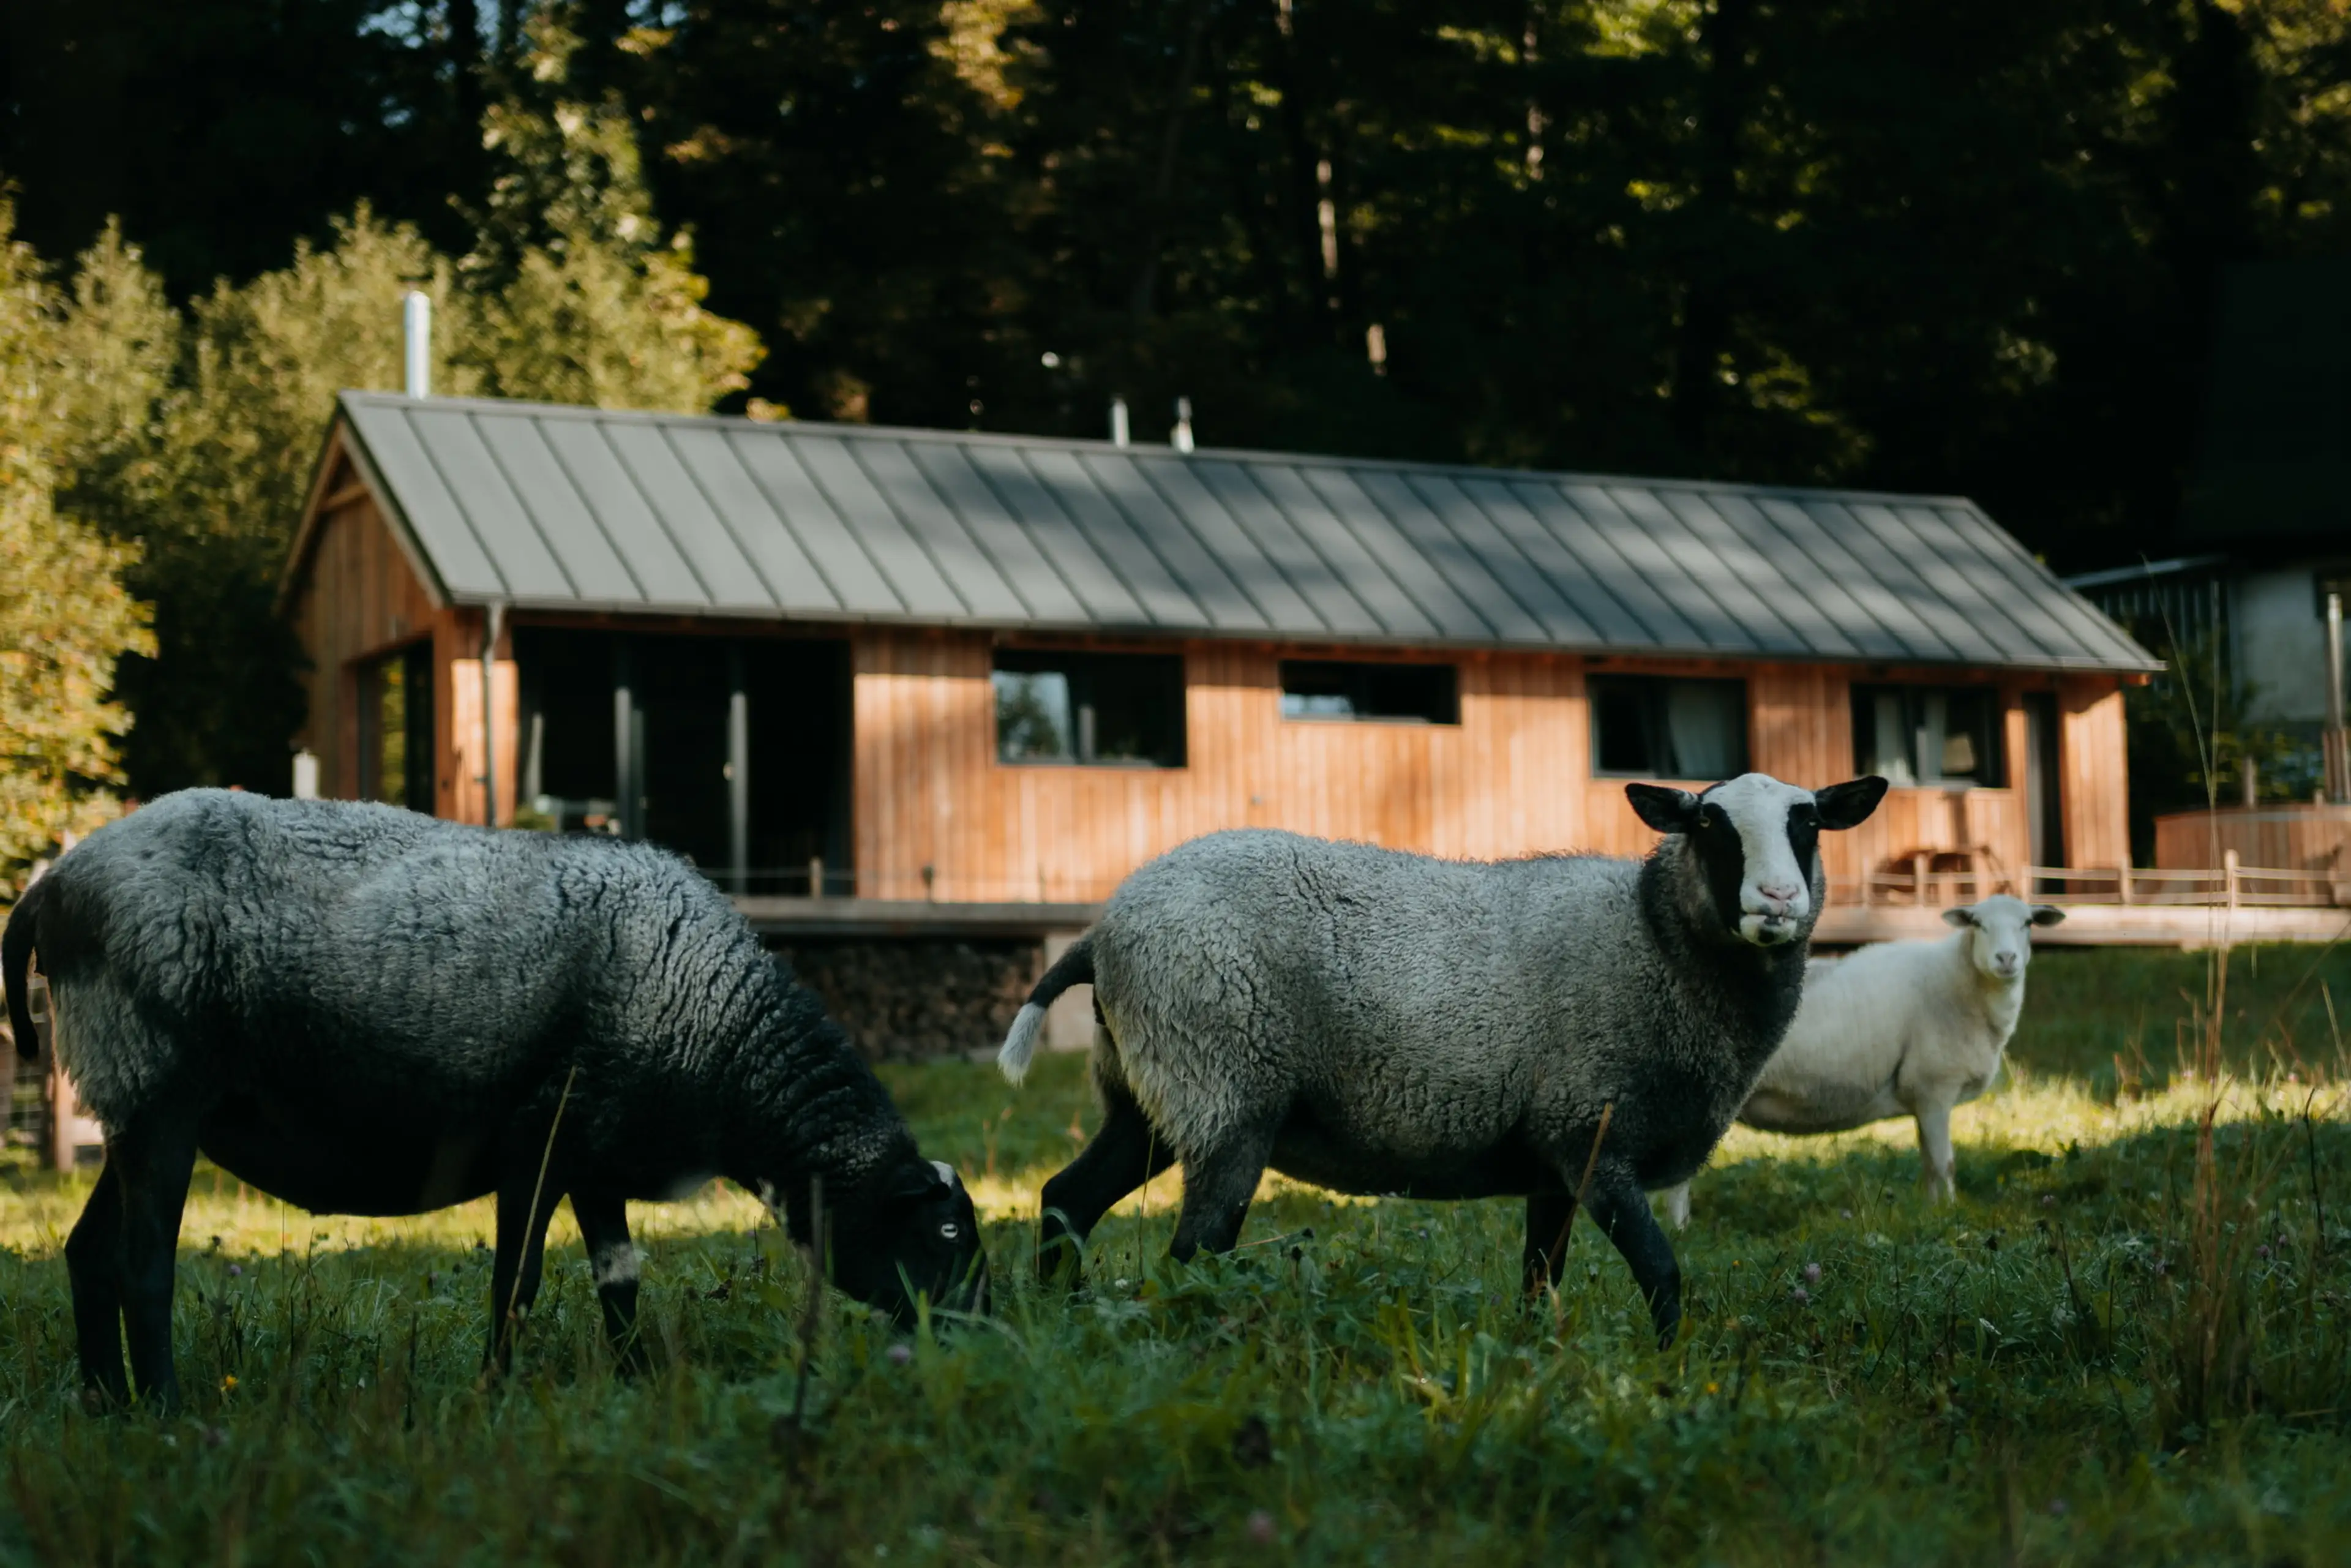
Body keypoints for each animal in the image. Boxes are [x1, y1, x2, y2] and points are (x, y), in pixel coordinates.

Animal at [2, 790, 992, 1420]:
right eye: (945, 1231)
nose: (987, 1332)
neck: (718, 1032)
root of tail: (53, 886)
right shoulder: (537, 1144)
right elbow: (516, 1283)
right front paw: (493, 1392)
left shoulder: (597, 1153)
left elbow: (619, 1277)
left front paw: (636, 1384)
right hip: (155, 1086)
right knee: (142, 1266)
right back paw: (166, 1412)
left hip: (133, 1105)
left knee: (88, 1252)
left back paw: (105, 1406)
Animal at [992, 771, 1890, 1354]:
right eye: (1707, 825)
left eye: (1810, 822)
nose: (1778, 901)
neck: (1655, 939)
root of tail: (1101, 932)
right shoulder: (1592, 1133)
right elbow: (1663, 1271)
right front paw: (1672, 1372)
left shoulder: (1550, 1155)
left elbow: (1539, 1277)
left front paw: (1536, 1364)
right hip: (1222, 1085)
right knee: (1191, 1254)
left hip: (1149, 1091)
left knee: (1067, 1196)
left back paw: (1064, 1314)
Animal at [1664, 893, 2069, 1222]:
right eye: (1978, 924)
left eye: (2027, 924)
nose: (2006, 959)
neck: (1960, 982)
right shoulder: (1935, 1086)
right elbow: (1946, 1163)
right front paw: (1952, 1216)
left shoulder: (1920, 1097)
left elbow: (1930, 1163)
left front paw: (1932, 1213)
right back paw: (1681, 1231)